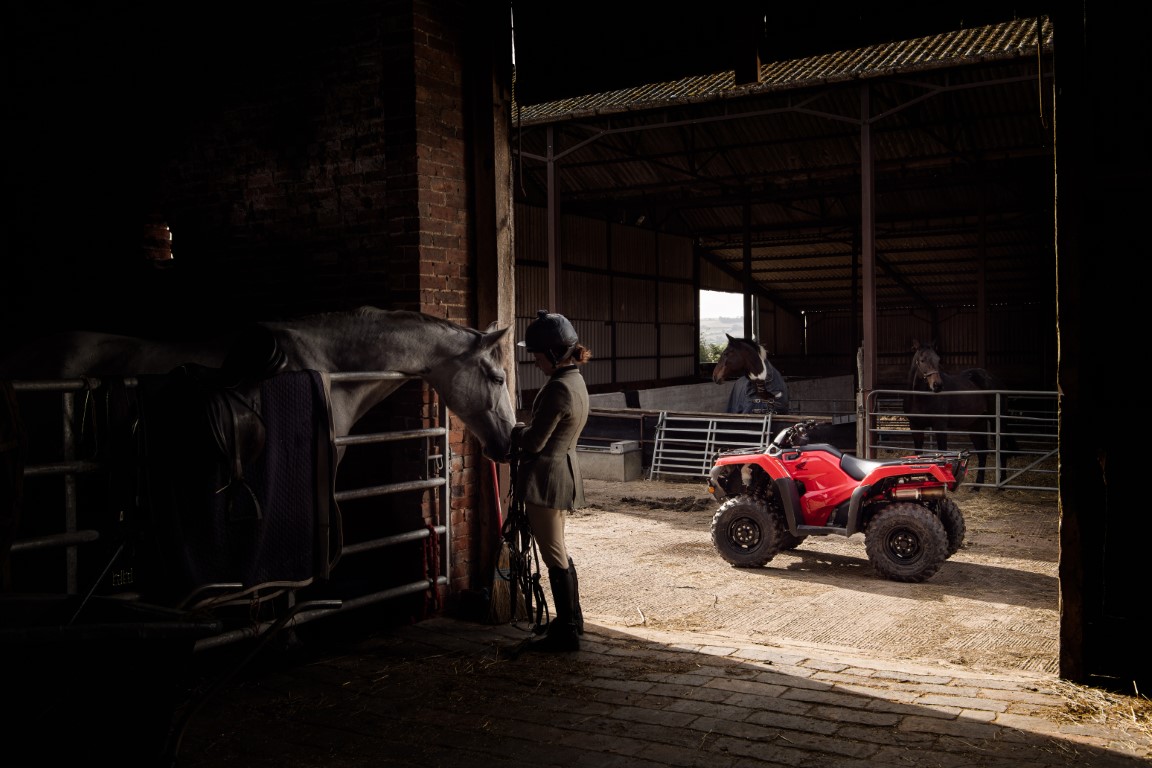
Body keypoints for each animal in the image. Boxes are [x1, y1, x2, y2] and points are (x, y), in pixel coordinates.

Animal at [905, 339, 1009, 488]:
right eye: (922, 360)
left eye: (938, 359)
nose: (938, 385)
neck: (920, 398)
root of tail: (993, 379)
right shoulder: (915, 426)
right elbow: (917, 453)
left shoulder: (940, 426)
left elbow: (942, 452)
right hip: (976, 424)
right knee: (982, 452)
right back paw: (977, 486)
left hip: (996, 421)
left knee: (1002, 449)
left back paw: (1002, 484)